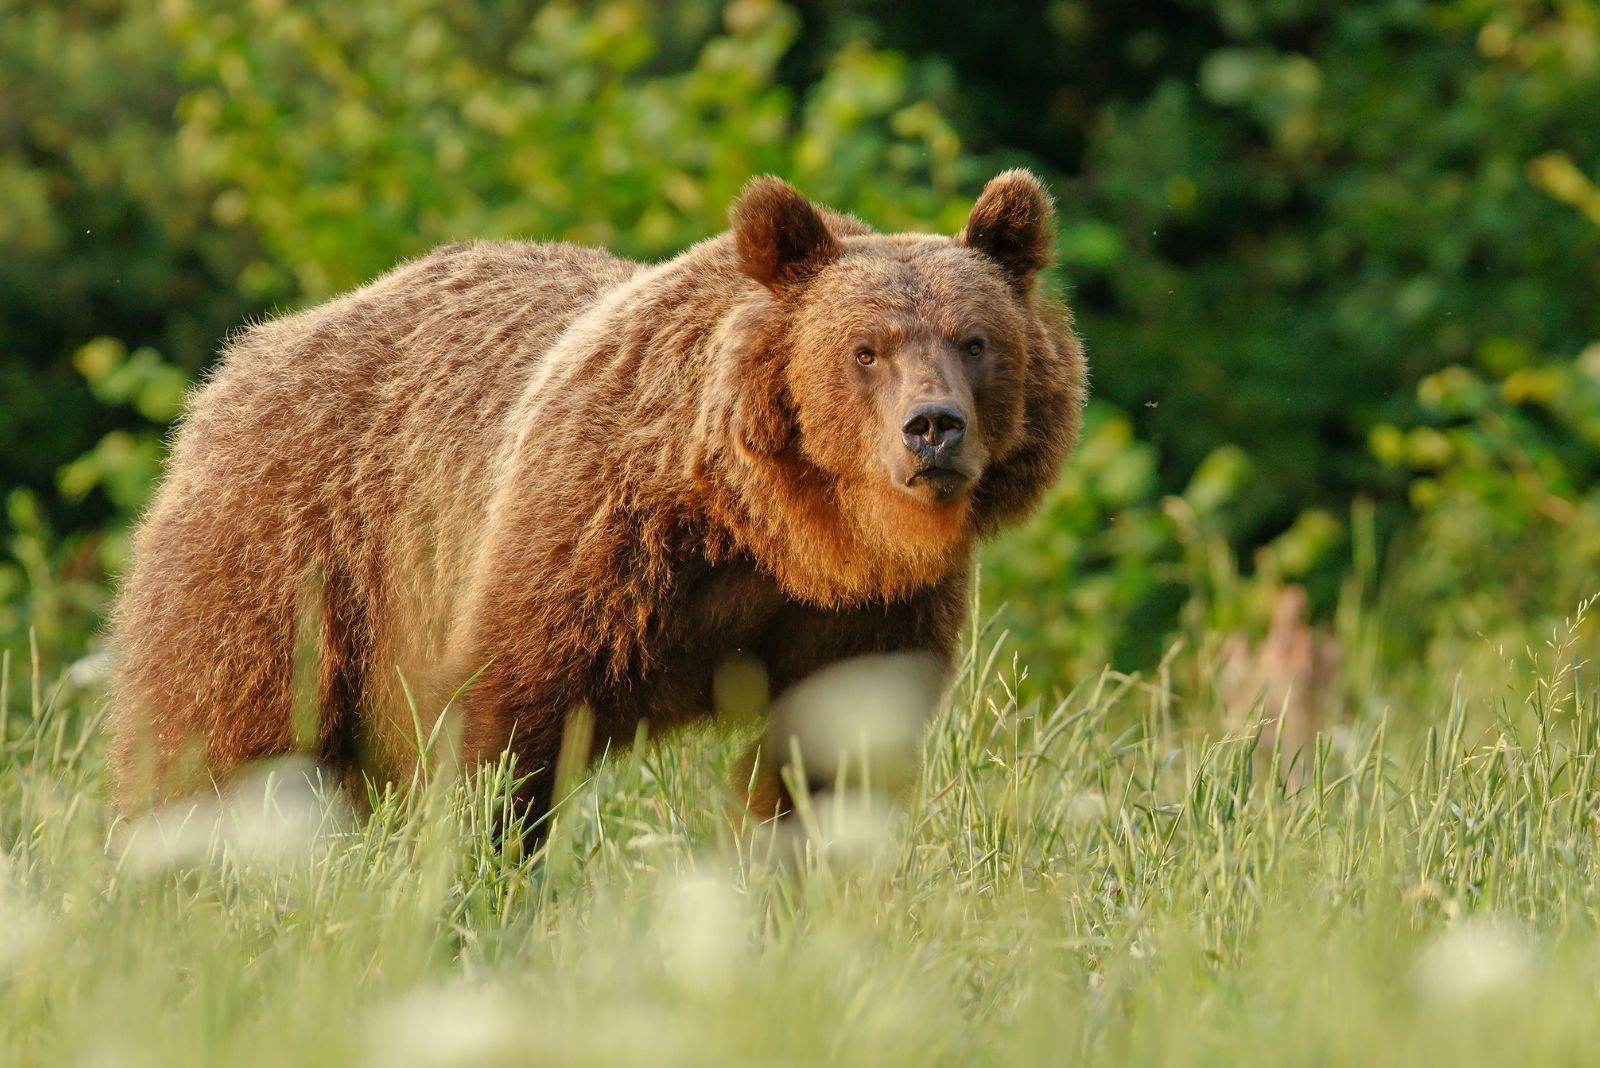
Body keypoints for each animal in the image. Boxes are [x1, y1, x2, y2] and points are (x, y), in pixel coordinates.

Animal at [109, 171, 1088, 831]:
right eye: (866, 349)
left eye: (976, 341)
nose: (934, 429)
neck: (775, 531)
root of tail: (251, 353)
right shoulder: (594, 539)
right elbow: (506, 724)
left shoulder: (870, 613)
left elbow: (830, 759)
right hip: (294, 553)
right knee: (222, 730)